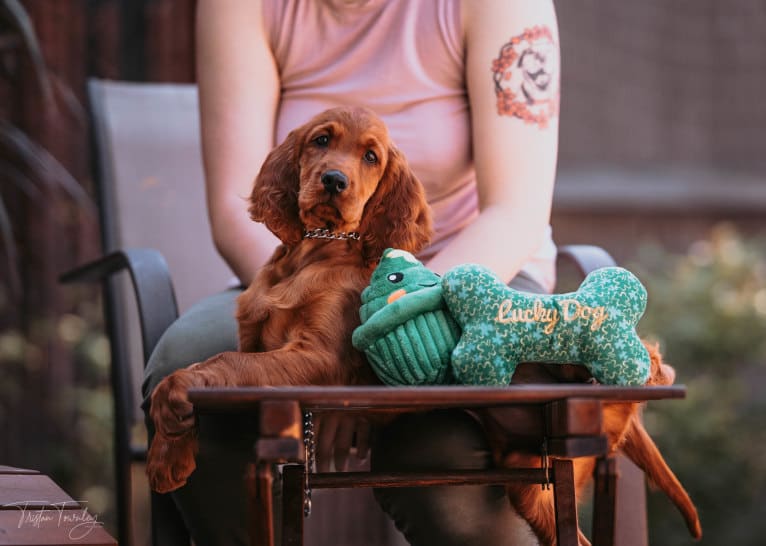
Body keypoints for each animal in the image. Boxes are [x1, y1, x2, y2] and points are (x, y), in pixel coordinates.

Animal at [143, 104, 432, 490]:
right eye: (321, 140)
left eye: (371, 156)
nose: (334, 180)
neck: (316, 248)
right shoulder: (253, 340)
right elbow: (228, 362)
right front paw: (168, 453)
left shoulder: (319, 357)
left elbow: (226, 361)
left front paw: (172, 394)